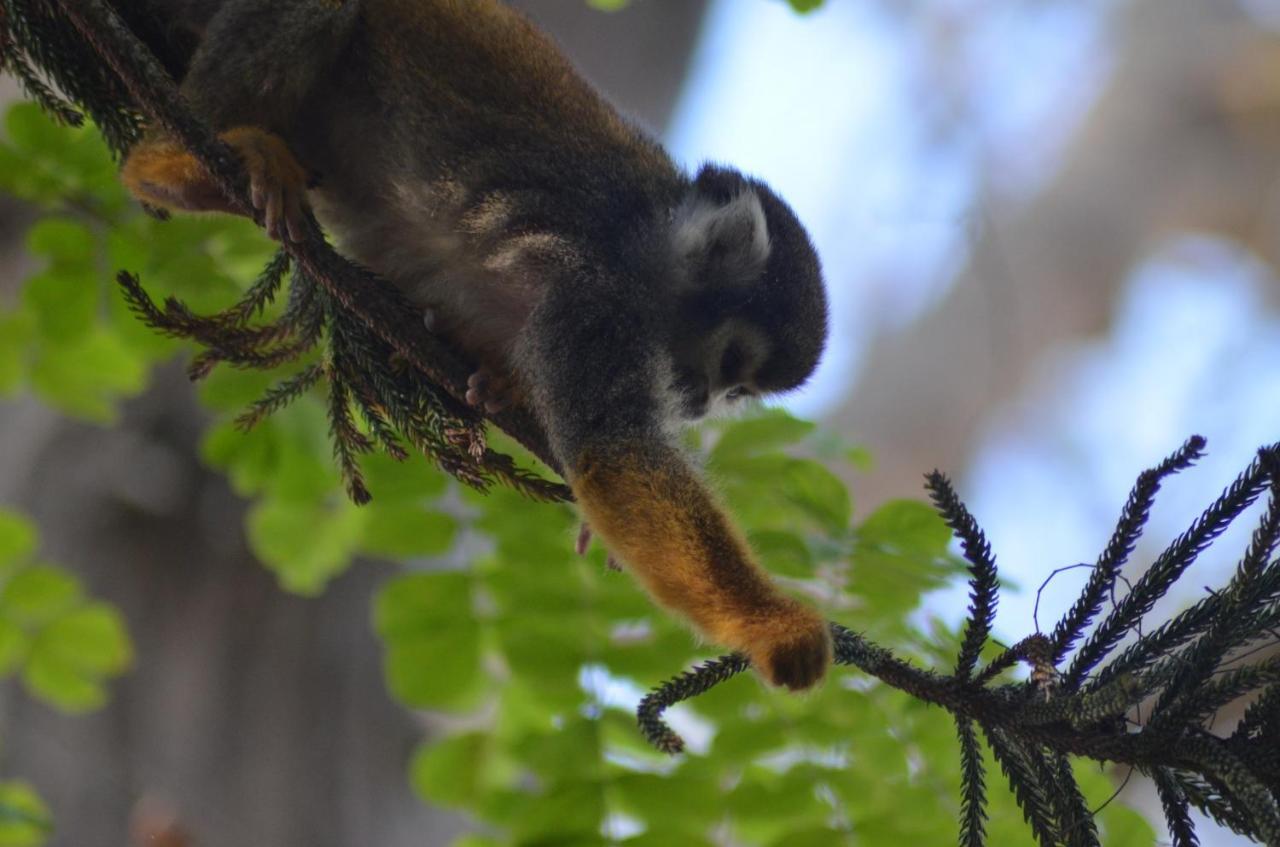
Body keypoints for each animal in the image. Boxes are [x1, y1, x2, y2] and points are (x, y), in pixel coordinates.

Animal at [124, 0, 834, 690]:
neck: (650, 242)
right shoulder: (600, 294)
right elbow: (613, 453)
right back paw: (167, 166)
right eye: (731, 363)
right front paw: (776, 627)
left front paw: (495, 379)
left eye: (738, 391)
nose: (704, 402)